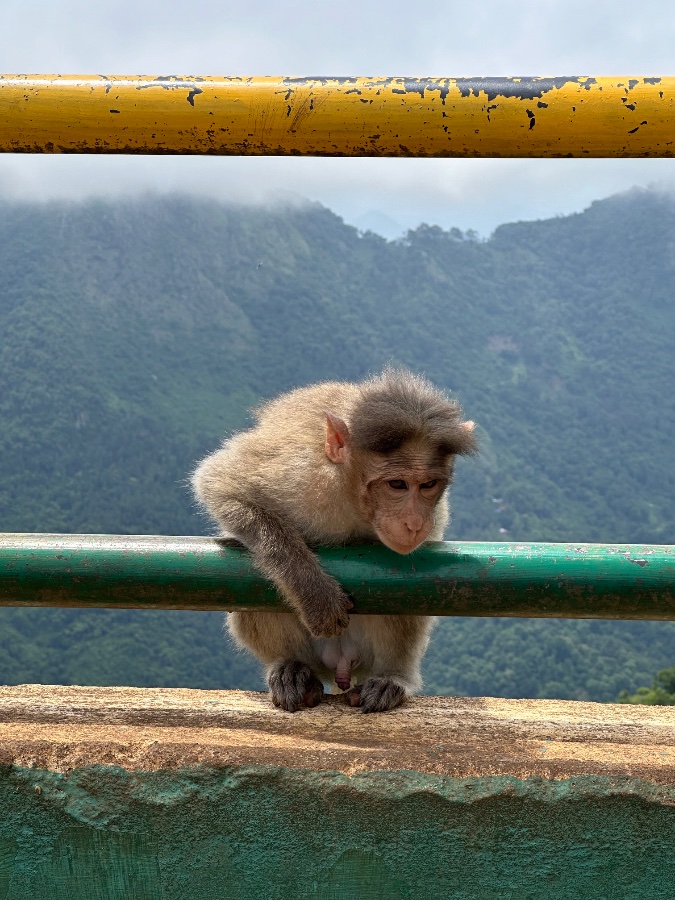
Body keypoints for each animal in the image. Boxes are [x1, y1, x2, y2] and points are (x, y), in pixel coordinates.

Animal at [192, 368, 476, 714]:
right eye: (397, 484)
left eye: (428, 485)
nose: (415, 523)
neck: (352, 498)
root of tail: (339, 661)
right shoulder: (298, 471)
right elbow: (219, 483)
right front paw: (314, 594)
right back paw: (290, 668)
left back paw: (392, 677)